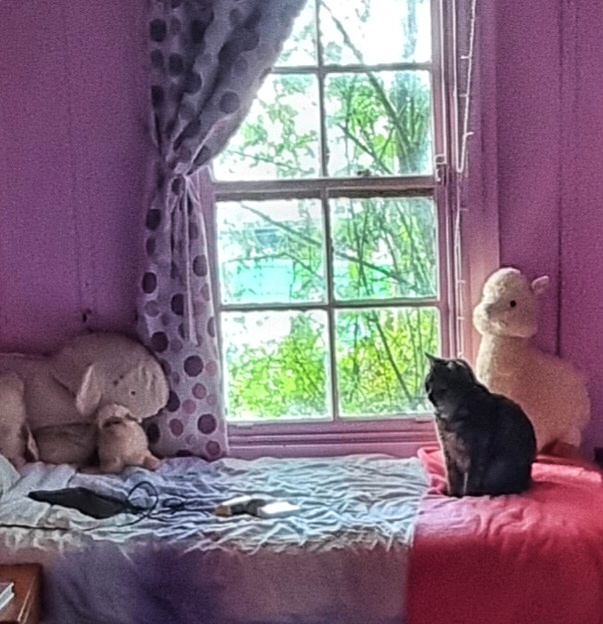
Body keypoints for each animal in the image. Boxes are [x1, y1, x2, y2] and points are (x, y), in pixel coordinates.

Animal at [424, 354, 536, 497]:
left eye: (442, 389)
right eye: (427, 385)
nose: (429, 396)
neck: (451, 415)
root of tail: (526, 480)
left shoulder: (475, 452)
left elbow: (470, 482)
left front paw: (466, 497)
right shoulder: (448, 452)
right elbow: (452, 478)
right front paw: (453, 495)